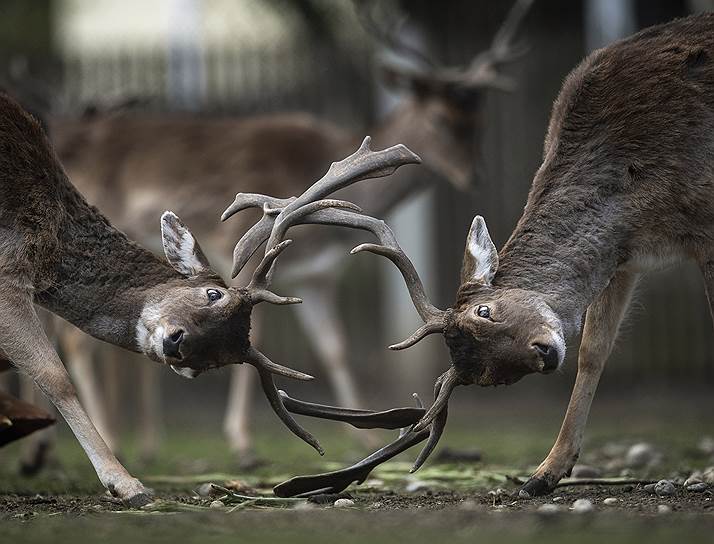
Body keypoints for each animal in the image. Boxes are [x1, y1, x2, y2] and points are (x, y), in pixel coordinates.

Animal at [0, 88, 422, 502]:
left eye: (212, 362)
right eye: (213, 293)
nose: (174, 342)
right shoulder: (9, 270)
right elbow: (55, 375)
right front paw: (128, 485)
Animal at [23, 0, 528, 468]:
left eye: (479, 122)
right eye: (440, 120)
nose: (474, 175)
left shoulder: (316, 276)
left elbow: (335, 347)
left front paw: (361, 435)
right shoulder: (245, 254)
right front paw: (243, 443)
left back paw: (73, 447)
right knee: (73, 335)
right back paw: (102, 439)